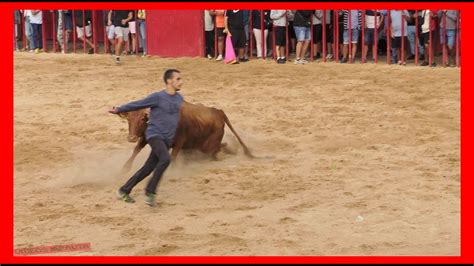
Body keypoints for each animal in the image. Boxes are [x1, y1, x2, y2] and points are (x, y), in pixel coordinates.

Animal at [116, 101, 254, 171]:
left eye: (142, 119)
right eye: (128, 119)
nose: (131, 138)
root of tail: (219, 112)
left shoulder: (179, 142)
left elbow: (173, 157)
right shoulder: (146, 137)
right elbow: (137, 149)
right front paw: (126, 167)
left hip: (208, 146)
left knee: (218, 149)